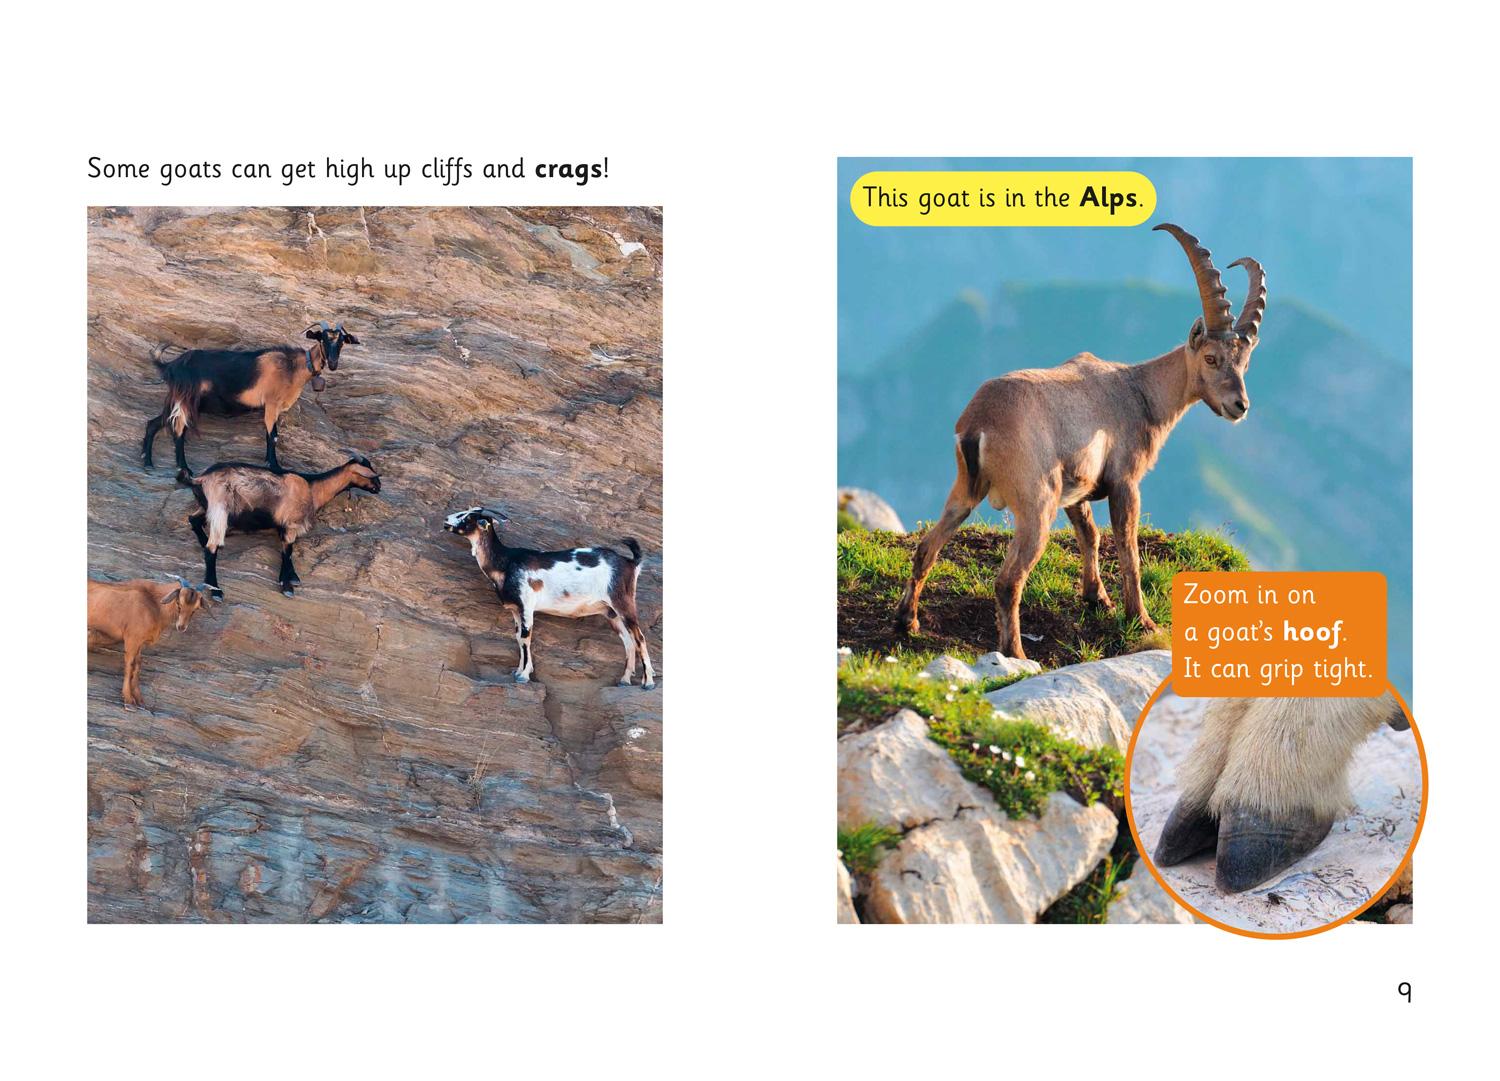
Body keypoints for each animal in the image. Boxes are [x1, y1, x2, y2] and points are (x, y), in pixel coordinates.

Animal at [87, 575, 212, 707]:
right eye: (179, 603)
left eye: (195, 609)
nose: (181, 627)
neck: (153, 603)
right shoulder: (132, 639)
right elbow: (129, 665)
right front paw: (128, 698)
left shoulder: (140, 643)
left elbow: (138, 665)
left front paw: (139, 698)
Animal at [143, 322, 360, 472]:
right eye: (322, 338)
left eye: (342, 341)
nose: (332, 363)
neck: (292, 368)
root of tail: (171, 365)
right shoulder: (271, 403)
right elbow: (272, 436)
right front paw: (276, 467)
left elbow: (272, 435)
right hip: (186, 399)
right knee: (178, 428)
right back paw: (184, 468)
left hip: (175, 399)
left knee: (154, 423)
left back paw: (147, 462)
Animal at [178, 452, 382, 598]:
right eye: (370, 474)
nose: (379, 487)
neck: (313, 487)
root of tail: (201, 479)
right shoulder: (291, 523)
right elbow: (287, 551)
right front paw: (288, 586)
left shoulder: (284, 526)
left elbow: (287, 550)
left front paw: (291, 578)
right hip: (220, 507)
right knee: (211, 547)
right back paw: (216, 590)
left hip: (207, 507)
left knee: (193, 519)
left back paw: (202, 541)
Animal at [442, 506, 655, 688]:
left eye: (468, 517)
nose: (446, 520)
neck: (506, 561)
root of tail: (631, 563)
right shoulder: (516, 610)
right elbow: (518, 638)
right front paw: (519, 671)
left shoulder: (526, 605)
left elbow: (526, 637)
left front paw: (523, 676)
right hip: (611, 613)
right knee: (628, 641)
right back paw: (625, 680)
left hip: (623, 602)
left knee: (639, 637)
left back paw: (648, 682)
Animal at [894, 224, 1266, 658]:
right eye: (1210, 358)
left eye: (1244, 363)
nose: (1239, 406)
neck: (1141, 393)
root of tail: (978, 424)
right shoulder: (1125, 481)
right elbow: (1127, 547)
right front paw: (1142, 619)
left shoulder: (1078, 487)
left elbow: (1089, 534)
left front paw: (1096, 598)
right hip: (1036, 503)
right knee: (1008, 580)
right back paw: (1016, 653)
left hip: (965, 490)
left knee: (927, 547)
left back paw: (907, 621)